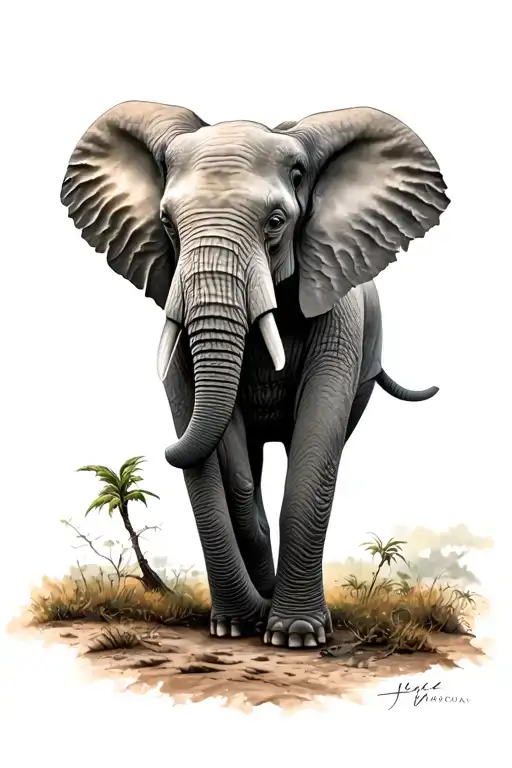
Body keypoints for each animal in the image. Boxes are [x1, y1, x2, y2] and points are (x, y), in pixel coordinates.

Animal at [60, 101, 449, 648]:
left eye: (276, 222)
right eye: (166, 223)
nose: (161, 449)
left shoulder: (337, 306)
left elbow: (315, 448)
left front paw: (297, 635)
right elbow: (226, 464)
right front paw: (234, 627)